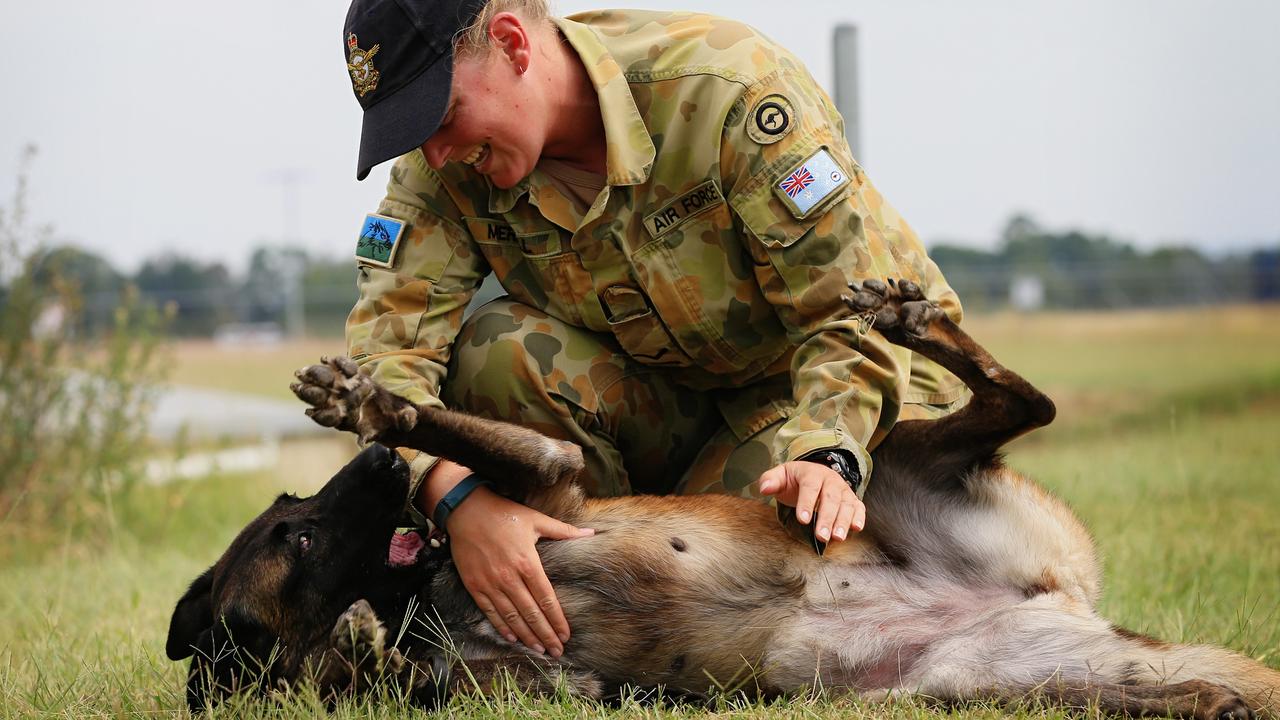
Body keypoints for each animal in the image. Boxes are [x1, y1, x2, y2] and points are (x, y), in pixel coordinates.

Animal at [165, 279, 1274, 712]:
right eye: (297, 537)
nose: (384, 476)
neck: (423, 598)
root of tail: (1059, 596)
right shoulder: (550, 693)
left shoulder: (552, 482)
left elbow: (463, 433)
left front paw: (376, 404)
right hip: (977, 686)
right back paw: (1205, 700)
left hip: (902, 466)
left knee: (1024, 399)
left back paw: (914, 319)